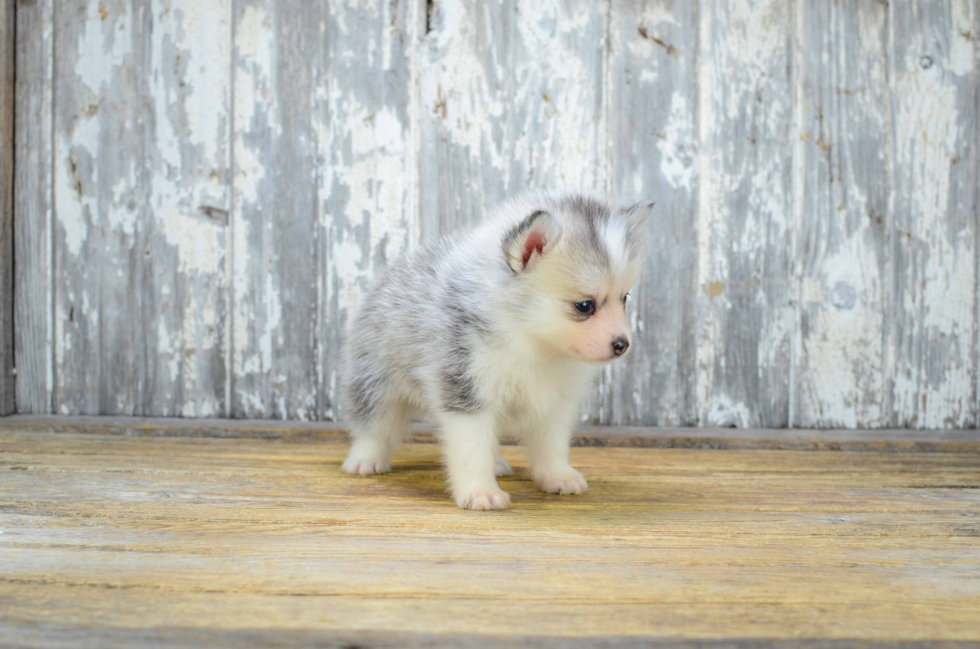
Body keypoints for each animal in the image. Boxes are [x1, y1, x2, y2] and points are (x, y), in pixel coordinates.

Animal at [340, 192, 656, 512]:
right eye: (584, 306)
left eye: (625, 298)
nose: (622, 344)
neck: (532, 344)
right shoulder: (465, 391)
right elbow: (472, 449)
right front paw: (480, 492)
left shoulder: (554, 402)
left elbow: (551, 444)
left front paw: (558, 476)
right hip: (376, 380)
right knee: (374, 424)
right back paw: (365, 460)